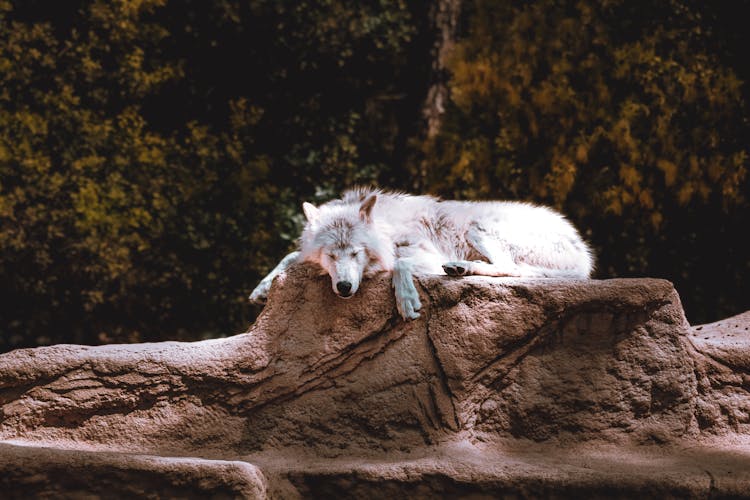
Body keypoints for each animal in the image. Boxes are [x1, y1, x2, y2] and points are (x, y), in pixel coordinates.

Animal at [250, 188, 596, 320]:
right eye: (331, 256)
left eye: (355, 253)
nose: (344, 287)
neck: (386, 231)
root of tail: (583, 253)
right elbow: (290, 256)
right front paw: (262, 288)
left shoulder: (424, 254)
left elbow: (400, 263)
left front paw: (406, 300)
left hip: (478, 226)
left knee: (508, 268)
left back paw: (460, 267)